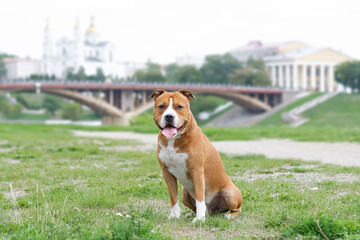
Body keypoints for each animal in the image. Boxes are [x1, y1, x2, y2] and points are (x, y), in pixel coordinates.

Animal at [149, 89, 242, 222]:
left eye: (179, 106)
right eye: (161, 106)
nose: (169, 116)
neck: (173, 140)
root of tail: (213, 211)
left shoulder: (196, 171)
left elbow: (199, 197)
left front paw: (199, 219)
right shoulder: (166, 172)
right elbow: (173, 197)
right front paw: (175, 215)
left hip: (231, 194)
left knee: (237, 209)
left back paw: (228, 214)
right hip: (184, 193)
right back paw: (193, 213)